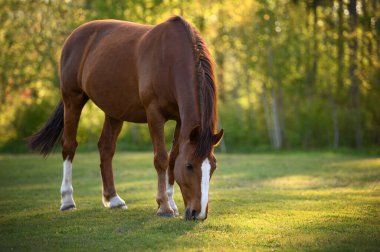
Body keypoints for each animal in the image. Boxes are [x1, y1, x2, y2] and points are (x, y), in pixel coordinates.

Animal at [29, 15, 223, 220]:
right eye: (189, 166)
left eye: (213, 167)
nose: (198, 213)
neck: (170, 61)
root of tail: (73, 36)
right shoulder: (154, 114)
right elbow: (161, 159)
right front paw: (164, 206)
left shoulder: (180, 119)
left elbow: (172, 159)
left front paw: (171, 203)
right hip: (72, 99)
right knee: (69, 146)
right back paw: (67, 200)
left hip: (114, 110)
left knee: (106, 148)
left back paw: (113, 199)